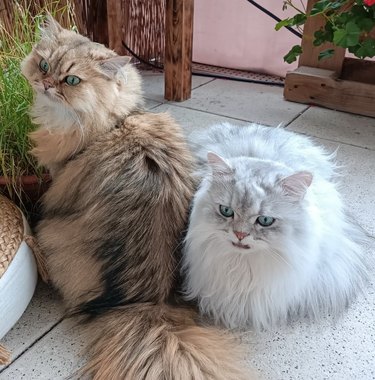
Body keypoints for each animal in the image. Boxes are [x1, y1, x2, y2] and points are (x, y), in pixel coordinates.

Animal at [20, 16, 253, 378]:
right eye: (43, 64)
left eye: (71, 80)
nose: (45, 83)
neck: (118, 120)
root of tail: (148, 301)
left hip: (50, 232)